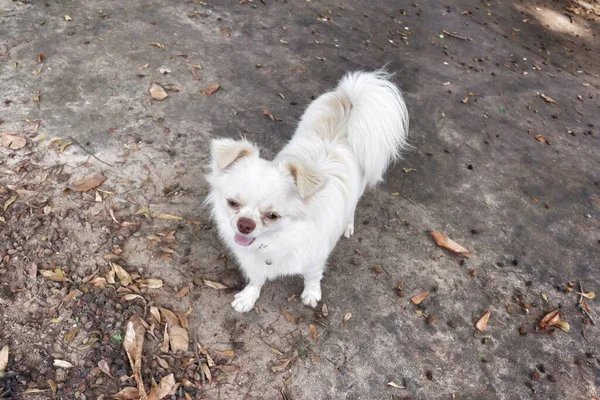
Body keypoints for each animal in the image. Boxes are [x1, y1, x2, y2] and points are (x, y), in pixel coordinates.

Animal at [205, 71, 408, 312]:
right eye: (233, 203)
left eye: (272, 215)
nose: (245, 225)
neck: (274, 240)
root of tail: (350, 105)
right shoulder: (255, 262)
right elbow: (256, 279)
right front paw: (248, 297)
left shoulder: (315, 258)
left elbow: (312, 277)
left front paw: (311, 294)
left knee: (352, 208)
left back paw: (348, 225)